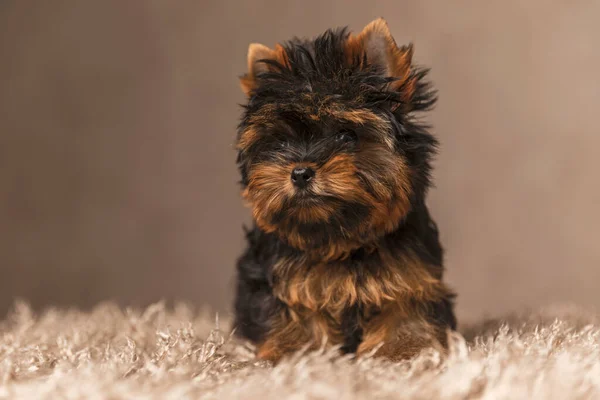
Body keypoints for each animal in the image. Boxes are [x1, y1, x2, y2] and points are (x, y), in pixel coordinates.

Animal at [233, 18, 454, 362]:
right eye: (280, 143)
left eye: (345, 136)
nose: (300, 172)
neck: (341, 239)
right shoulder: (277, 275)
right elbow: (293, 308)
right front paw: (295, 352)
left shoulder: (413, 274)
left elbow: (406, 306)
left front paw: (404, 351)